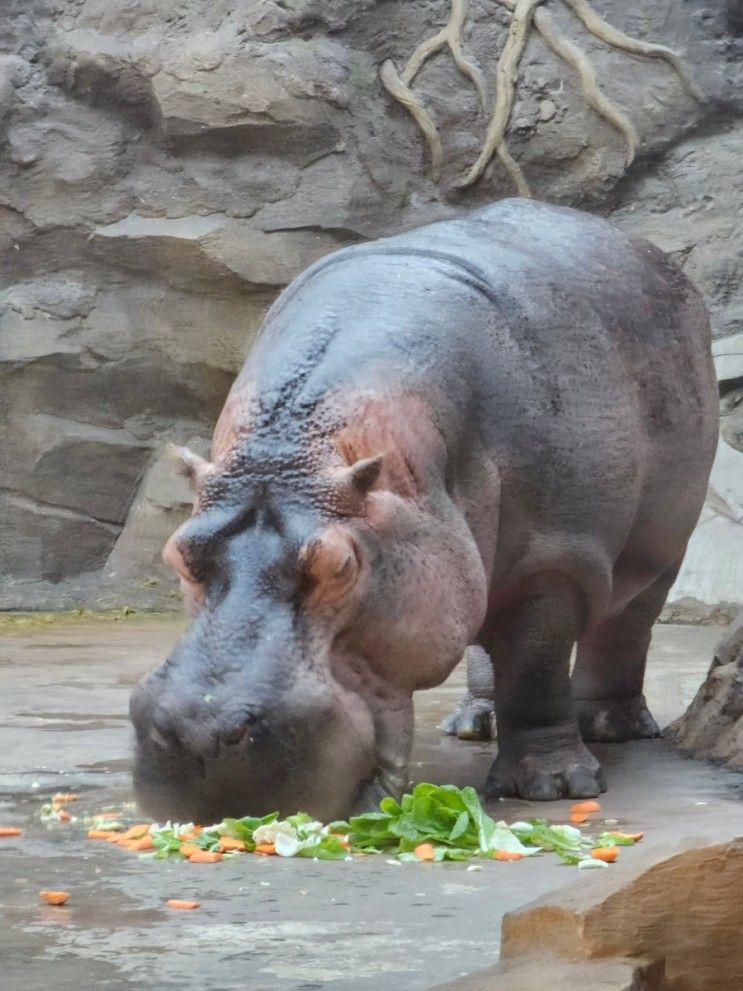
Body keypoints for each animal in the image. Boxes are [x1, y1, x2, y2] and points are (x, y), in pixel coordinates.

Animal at [129, 200, 720, 820]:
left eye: (342, 566)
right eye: (178, 553)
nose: (198, 734)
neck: (294, 441)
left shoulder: (556, 558)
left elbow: (536, 671)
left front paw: (556, 788)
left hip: (664, 542)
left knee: (628, 622)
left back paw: (611, 727)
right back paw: (474, 724)